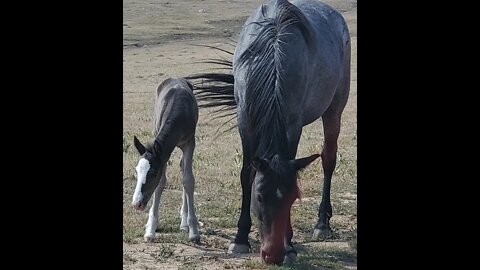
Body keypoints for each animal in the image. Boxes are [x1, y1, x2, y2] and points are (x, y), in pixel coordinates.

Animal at [130, 76, 200, 243]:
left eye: (152, 173)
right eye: (136, 172)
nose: (137, 204)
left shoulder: (190, 143)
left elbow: (188, 180)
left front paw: (194, 231)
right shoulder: (161, 147)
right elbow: (161, 183)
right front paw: (150, 229)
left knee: (183, 169)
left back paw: (184, 222)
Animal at [189, 0, 350, 264]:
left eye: (293, 198)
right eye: (260, 197)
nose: (273, 254)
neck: (272, 58)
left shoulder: (293, 125)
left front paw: (290, 245)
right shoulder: (245, 122)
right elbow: (246, 175)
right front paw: (240, 238)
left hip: (334, 110)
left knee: (329, 159)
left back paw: (322, 223)